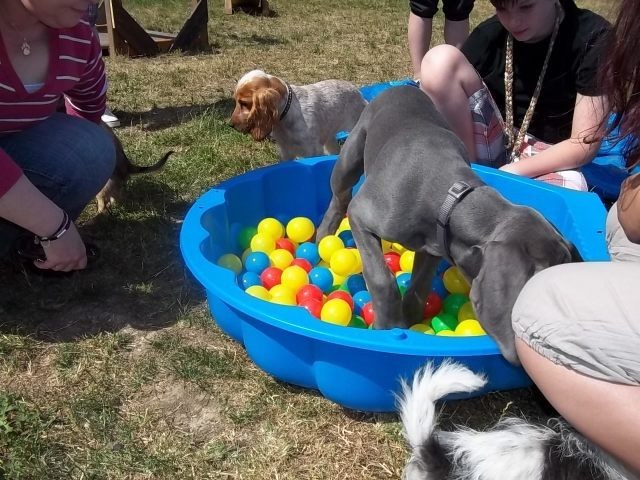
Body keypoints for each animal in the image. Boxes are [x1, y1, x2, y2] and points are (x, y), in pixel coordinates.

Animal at [230, 69, 367, 161]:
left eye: (244, 103)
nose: (230, 125)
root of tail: (360, 96)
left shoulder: (311, 150)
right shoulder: (285, 151)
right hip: (329, 137)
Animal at [316, 86, 580, 365]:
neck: (457, 196)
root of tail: (401, 86)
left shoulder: (435, 244)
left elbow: (419, 288)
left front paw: (410, 320)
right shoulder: (362, 214)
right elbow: (381, 278)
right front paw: (389, 324)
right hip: (351, 155)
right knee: (340, 197)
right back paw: (321, 235)